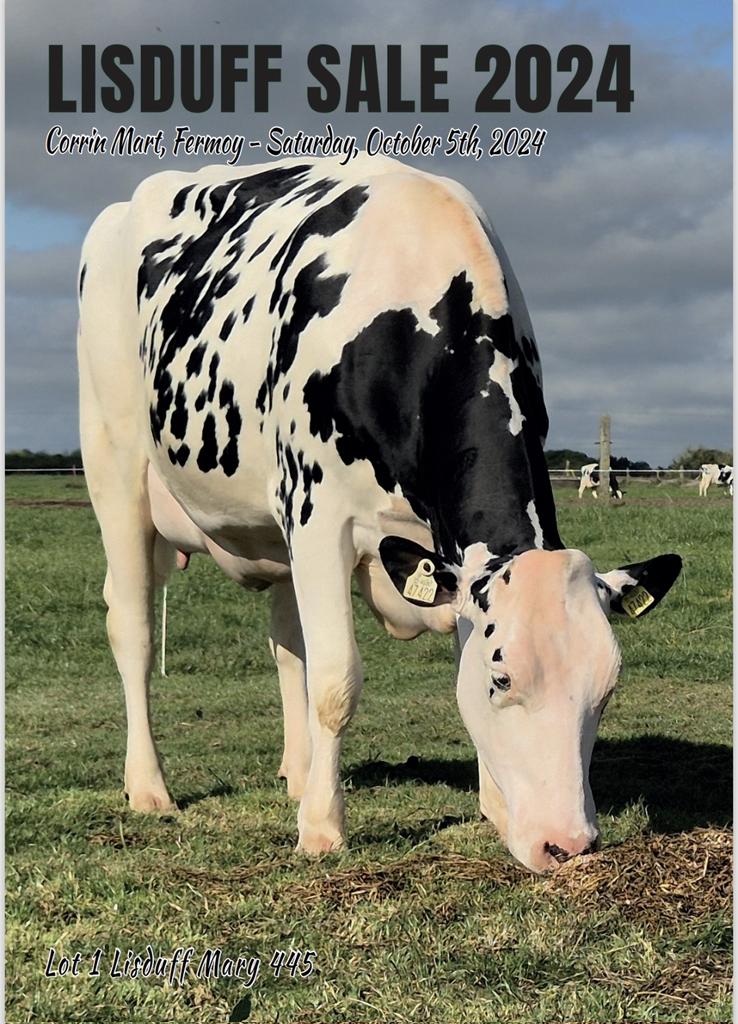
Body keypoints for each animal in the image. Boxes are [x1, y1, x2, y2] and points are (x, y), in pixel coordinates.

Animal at [78, 155, 682, 873]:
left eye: (608, 686)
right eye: (503, 678)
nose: (567, 844)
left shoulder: (439, 554)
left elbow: (422, 662)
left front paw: (493, 808)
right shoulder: (318, 513)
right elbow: (337, 680)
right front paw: (322, 829)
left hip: (273, 532)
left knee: (287, 645)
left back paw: (297, 772)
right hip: (115, 465)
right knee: (134, 628)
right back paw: (150, 787)